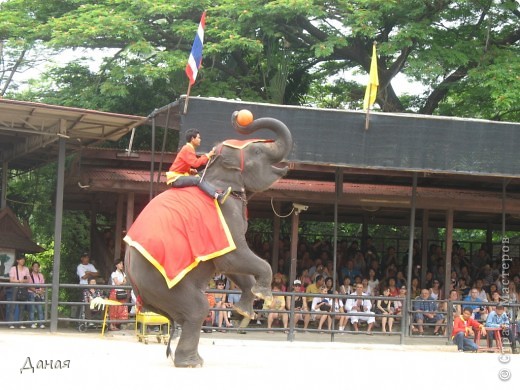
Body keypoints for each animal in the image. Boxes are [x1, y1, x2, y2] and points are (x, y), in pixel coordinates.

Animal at [123, 111, 292, 368]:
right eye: (257, 152)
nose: (237, 114)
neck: (217, 173)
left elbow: (230, 265)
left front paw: (245, 310)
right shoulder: (226, 212)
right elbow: (233, 257)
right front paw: (264, 295)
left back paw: (192, 360)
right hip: (160, 283)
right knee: (198, 308)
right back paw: (191, 363)